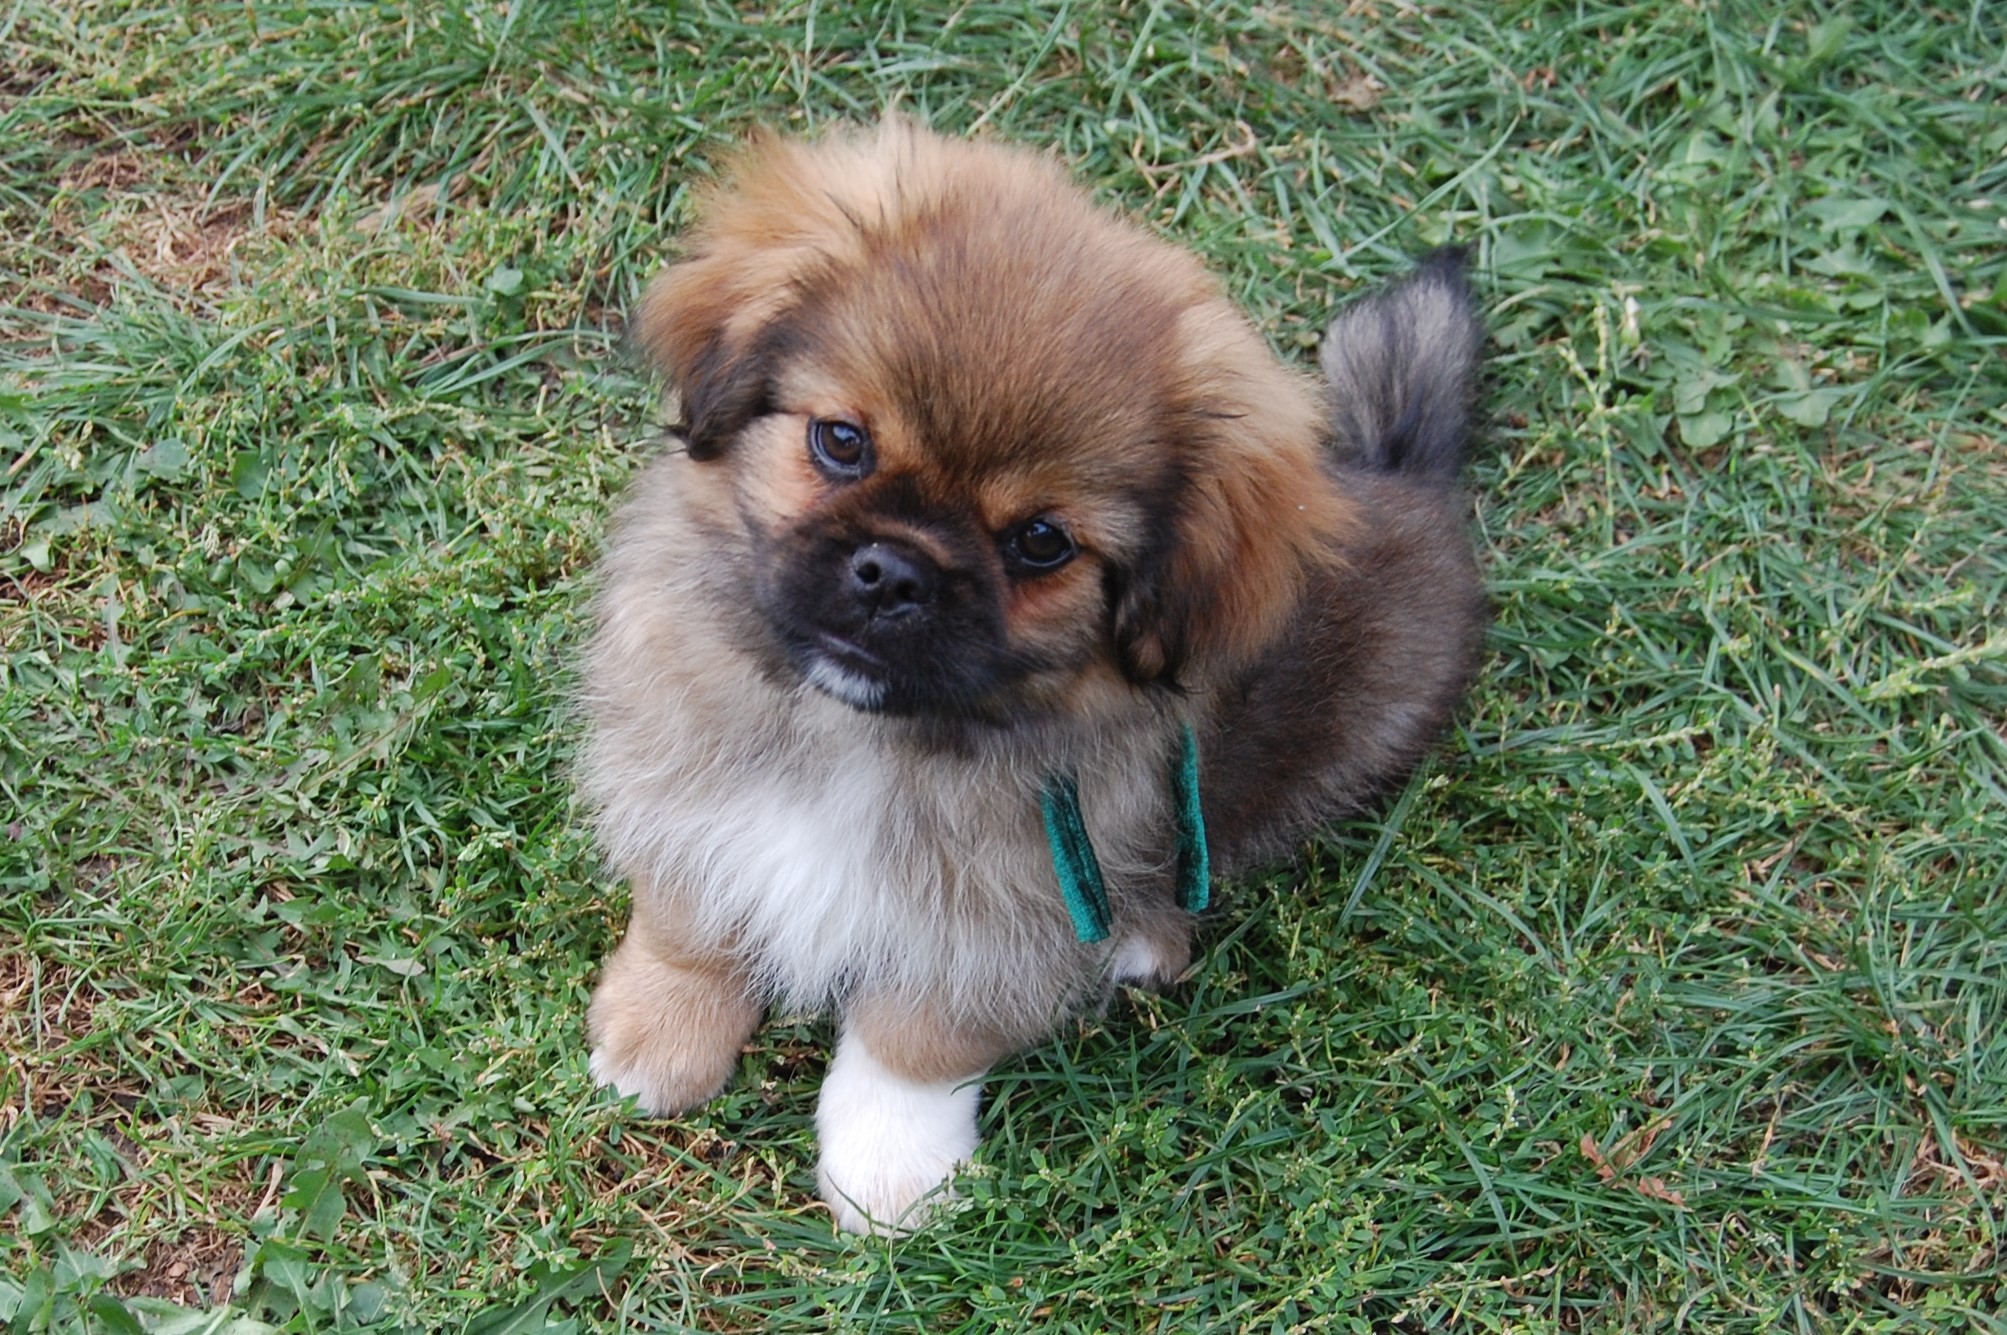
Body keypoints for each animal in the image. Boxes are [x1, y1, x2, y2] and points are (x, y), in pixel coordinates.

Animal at [582, 119, 1493, 1236]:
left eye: (1041, 541)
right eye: (840, 442)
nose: (896, 572)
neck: (864, 734)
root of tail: (1403, 471)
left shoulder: (1004, 905)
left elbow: (918, 1037)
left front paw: (890, 1171)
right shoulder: (694, 784)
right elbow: (691, 922)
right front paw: (657, 1035)